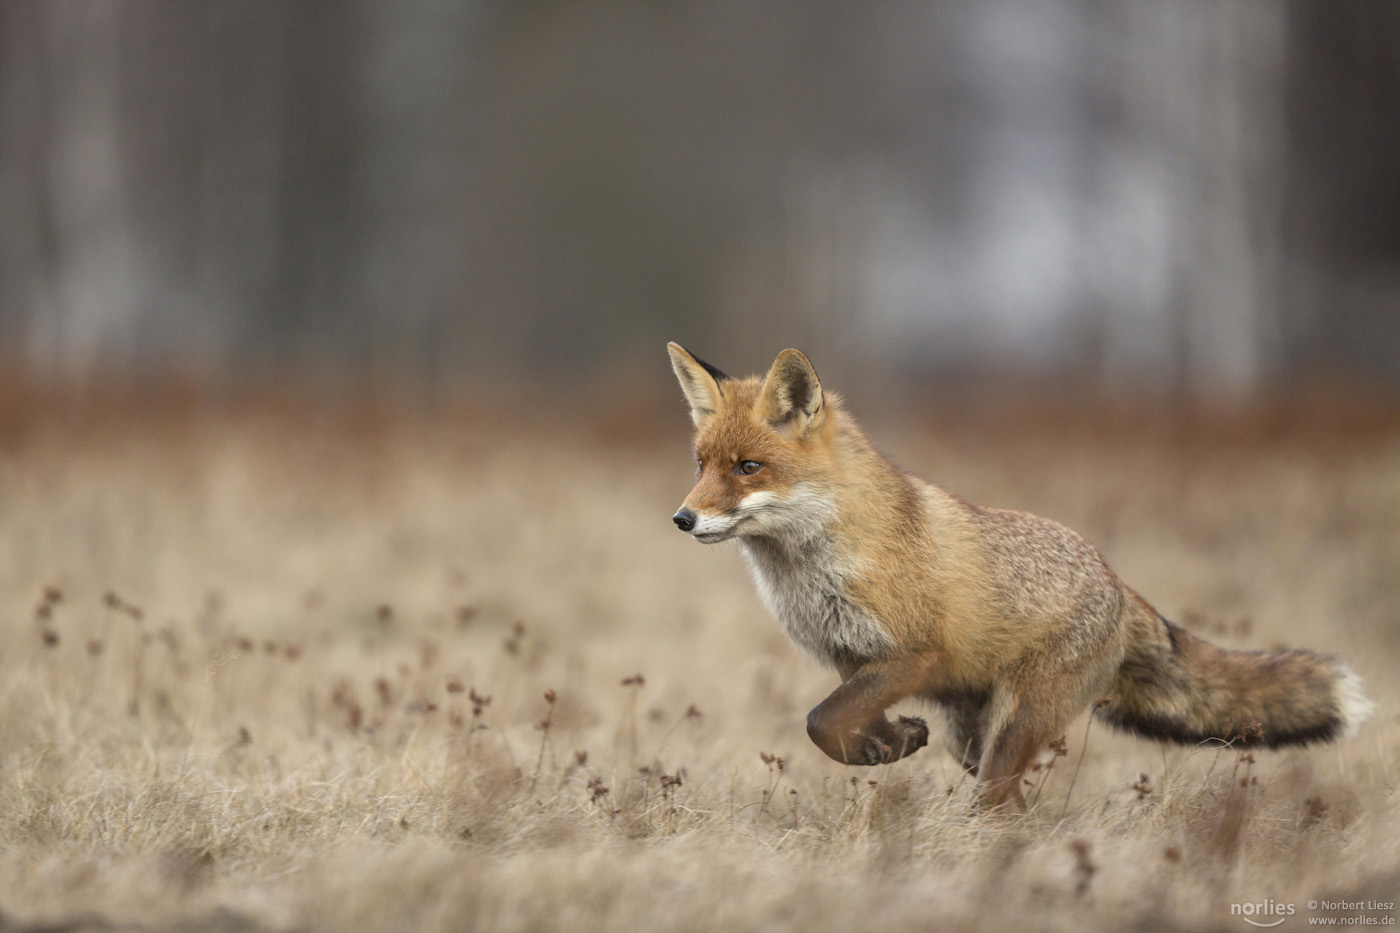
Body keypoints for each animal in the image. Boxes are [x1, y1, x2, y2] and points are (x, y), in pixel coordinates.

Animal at [666, 341, 1377, 806]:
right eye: (701, 464)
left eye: (748, 467)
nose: (682, 518)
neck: (815, 569)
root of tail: (1119, 583)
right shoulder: (851, 658)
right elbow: (840, 722)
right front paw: (891, 743)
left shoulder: (915, 653)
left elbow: (819, 720)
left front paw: (885, 743)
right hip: (973, 737)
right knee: (1017, 805)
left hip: (1014, 727)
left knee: (1000, 803)